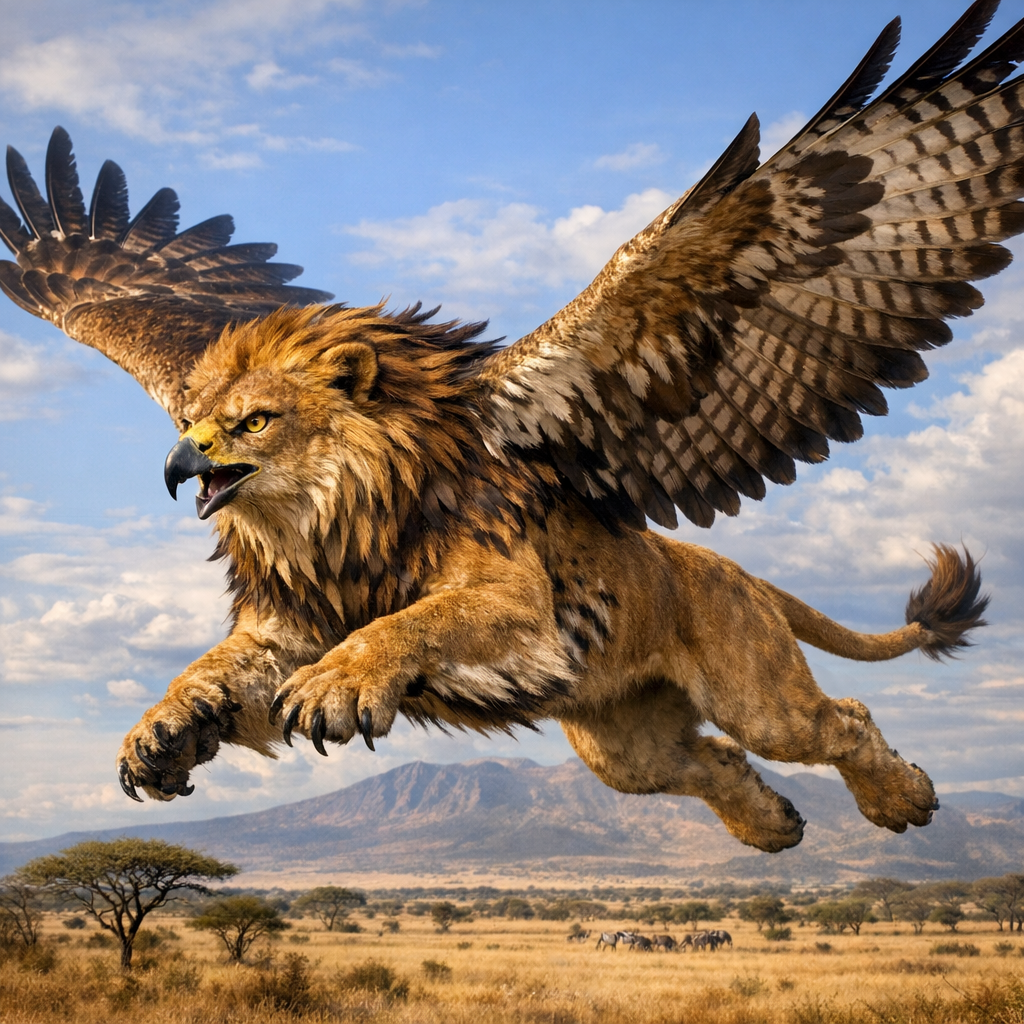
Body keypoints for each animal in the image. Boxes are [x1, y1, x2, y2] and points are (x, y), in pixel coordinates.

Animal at [0, 2, 1015, 851]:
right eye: (190, 420)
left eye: (253, 422)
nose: (179, 464)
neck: (332, 514)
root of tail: (734, 571)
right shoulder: (289, 618)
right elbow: (215, 664)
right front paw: (163, 728)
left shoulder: (515, 602)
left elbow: (419, 618)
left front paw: (344, 681)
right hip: (623, 741)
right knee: (708, 761)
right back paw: (772, 826)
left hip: (753, 684)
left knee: (836, 721)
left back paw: (904, 798)